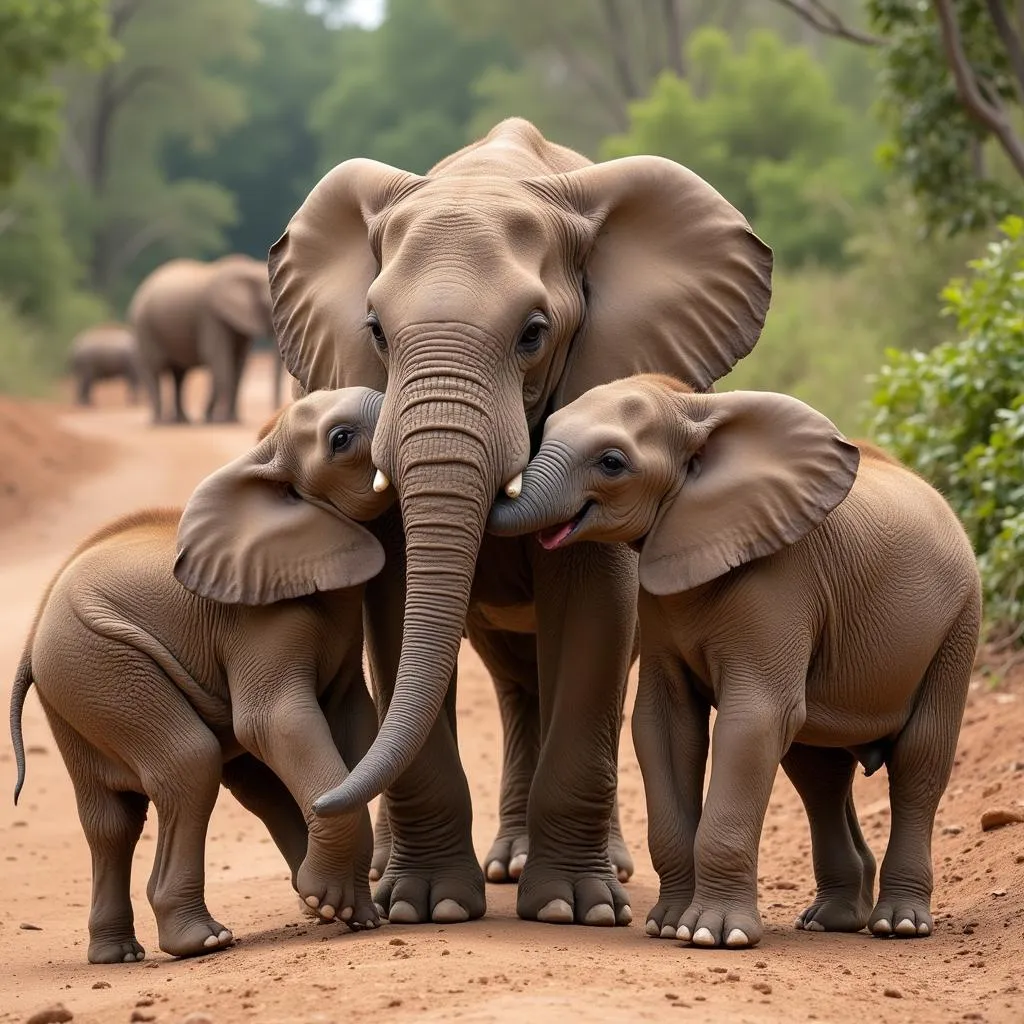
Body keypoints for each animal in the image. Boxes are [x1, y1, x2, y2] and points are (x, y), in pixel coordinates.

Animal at [12, 387, 395, 962]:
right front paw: (329, 902)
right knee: (188, 761)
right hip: (96, 663)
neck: (263, 454)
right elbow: (274, 722)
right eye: (341, 439)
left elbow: (354, 726)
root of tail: (34, 630)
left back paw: (119, 955)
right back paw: (203, 941)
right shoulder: (256, 620)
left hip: (73, 687)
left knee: (115, 819)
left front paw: (354, 915)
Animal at [130, 253, 278, 425]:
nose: (274, 413)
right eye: (268, 304)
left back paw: (182, 421)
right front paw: (220, 421)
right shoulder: (211, 316)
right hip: (144, 326)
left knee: (179, 375)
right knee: (155, 369)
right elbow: (217, 358)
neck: (248, 269)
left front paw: (232, 420)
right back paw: (159, 422)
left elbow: (238, 364)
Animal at [268, 117, 770, 929]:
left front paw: (575, 909)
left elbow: (596, 614)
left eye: (534, 334)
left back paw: (587, 869)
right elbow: (396, 608)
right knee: (510, 680)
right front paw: (427, 906)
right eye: (375, 332)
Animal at [487, 376, 983, 950]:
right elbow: (663, 724)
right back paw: (832, 919)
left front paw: (712, 935)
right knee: (819, 771)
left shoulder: (782, 580)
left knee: (919, 760)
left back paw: (898, 925)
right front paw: (665, 926)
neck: (695, 408)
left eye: (612, 463)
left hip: (959, 624)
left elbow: (753, 721)